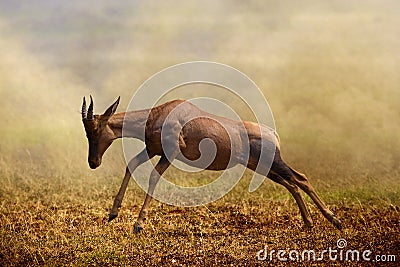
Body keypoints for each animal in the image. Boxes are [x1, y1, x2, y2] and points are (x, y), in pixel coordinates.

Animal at [80, 96, 340, 232]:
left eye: (96, 128)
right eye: (87, 131)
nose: (93, 162)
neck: (160, 113)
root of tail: (273, 133)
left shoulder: (170, 153)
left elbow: (153, 177)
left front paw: (138, 224)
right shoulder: (152, 150)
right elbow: (131, 166)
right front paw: (113, 213)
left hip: (273, 162)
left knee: (300, 179)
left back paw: (333, 220)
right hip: (263, 167)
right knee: (293, 183)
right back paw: (309, 223)